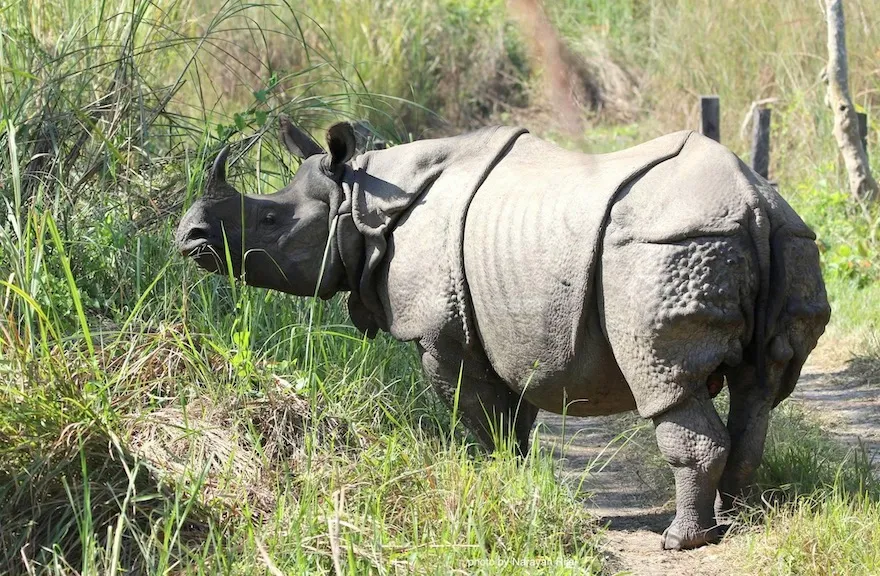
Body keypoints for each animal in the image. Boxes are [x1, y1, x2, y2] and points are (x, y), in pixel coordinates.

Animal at [176, 118, 830, 550]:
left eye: (269, 220)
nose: (188, 238)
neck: (362, 199)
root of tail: (753, 202)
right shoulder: (506, 329)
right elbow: (512, 416)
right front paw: (513, 479)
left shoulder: (440, 330)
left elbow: (475, 410)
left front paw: (493, 476)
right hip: (790, 236)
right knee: (760, 390)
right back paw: (737, 521)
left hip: (667, 246)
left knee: (666, 380)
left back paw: (681, 540)